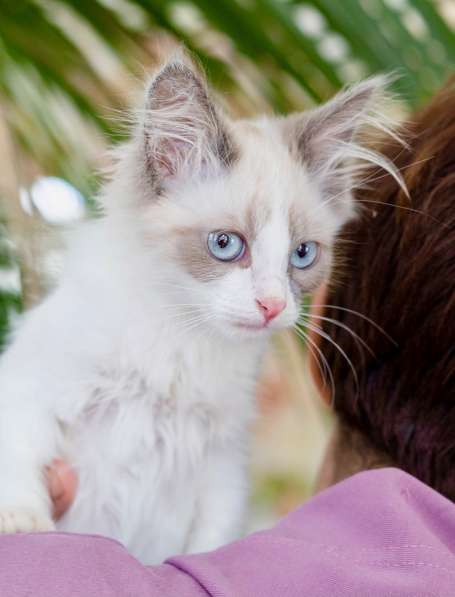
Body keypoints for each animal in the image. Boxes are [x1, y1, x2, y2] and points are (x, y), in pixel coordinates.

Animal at [0, 57, 406, 564]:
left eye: (302, 254)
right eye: (225, 244)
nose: (272, 305)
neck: (182, 339)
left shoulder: (222, 463)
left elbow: (213, 540)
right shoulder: (31, 391)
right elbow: (18, 458)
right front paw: (22, 523)